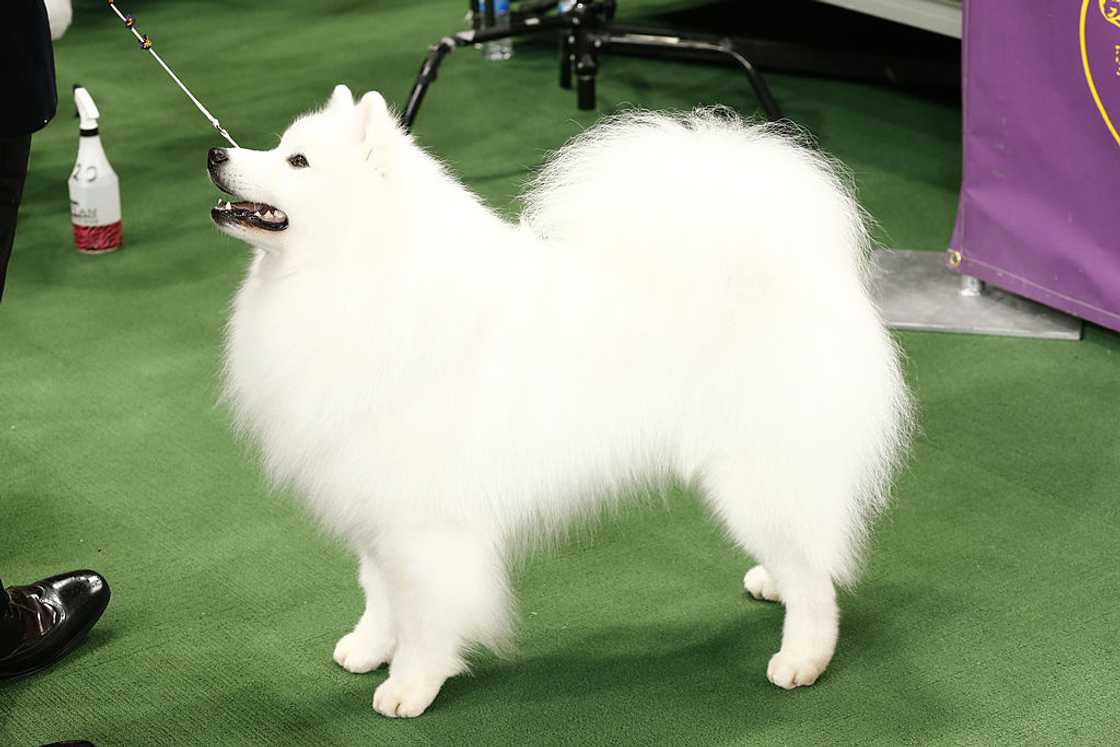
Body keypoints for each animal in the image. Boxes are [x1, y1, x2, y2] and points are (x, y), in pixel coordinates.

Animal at [208, 86, 909, 716]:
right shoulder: (372, 501)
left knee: (815, 573)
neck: (358, 277)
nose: (216, 152)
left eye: (297, 161)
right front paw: (370, 646)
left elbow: (427, 611)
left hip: (757, 472)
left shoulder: (425, 520)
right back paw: (773, 584)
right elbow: (380, 590)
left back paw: (804, 656)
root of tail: (807, 275)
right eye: (277, 145)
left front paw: (411, 684)